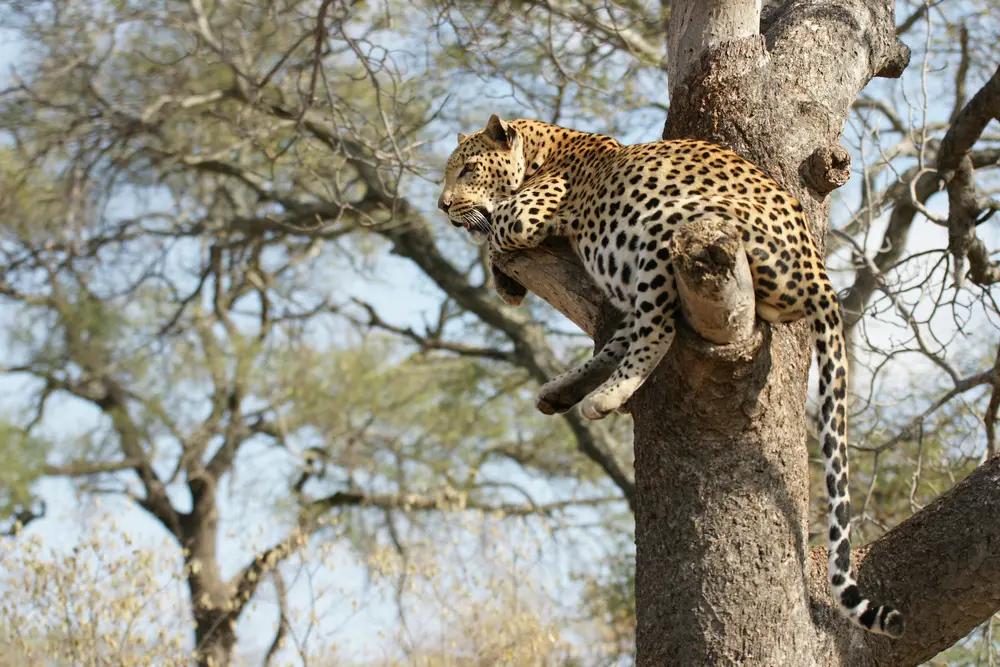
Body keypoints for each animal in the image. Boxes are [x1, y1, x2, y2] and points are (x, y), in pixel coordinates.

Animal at [437, 114, 905, 638]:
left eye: (467, 169)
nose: (442, 206)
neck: (545, 145)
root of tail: (818, 272)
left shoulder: (525, 214)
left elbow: (493, 231)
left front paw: (497, 266)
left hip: (665, 229)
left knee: (656, 329)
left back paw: (604, 397)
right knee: (624, 336)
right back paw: (563, 390)